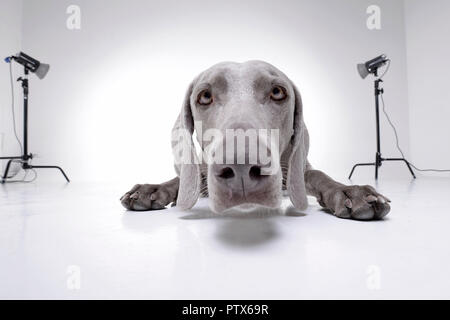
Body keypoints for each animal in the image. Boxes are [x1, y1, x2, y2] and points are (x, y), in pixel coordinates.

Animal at [119, 60, 390, 220]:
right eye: (205, 96)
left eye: (277, 92)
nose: (241, 168)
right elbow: (188, 178)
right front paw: (151, 189)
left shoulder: (298, 166)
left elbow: (317, 175)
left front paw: (351, 192)